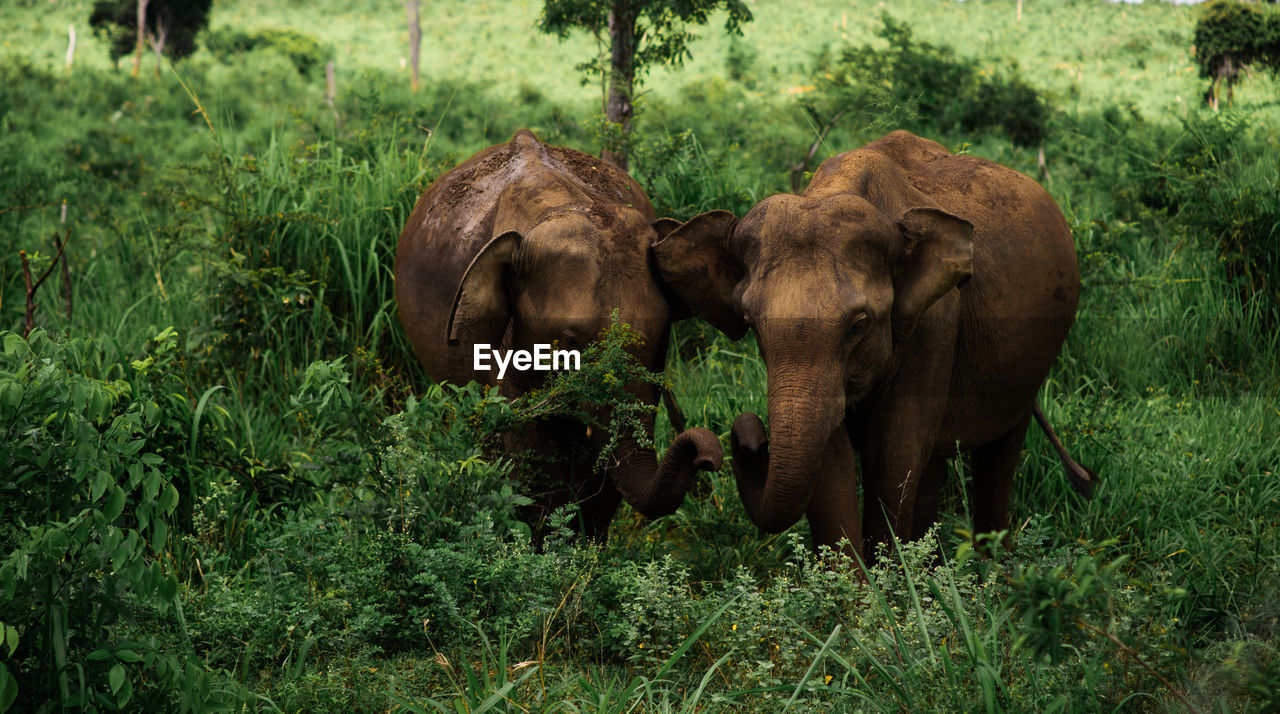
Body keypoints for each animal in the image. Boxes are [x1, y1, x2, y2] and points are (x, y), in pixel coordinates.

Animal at [394, 128, 727, 542]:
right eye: (569, 345)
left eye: (662, 340)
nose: (709, 458)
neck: (563, 204)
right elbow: (525, 451)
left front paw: (584, 547)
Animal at [655, 131, 1095, 563]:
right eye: (750, 324)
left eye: (859, 325)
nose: (748, 435)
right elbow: (832, 462)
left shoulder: (934, 327)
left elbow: (894, 453)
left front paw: (888, 578)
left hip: (1033, 358)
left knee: (999, 452)